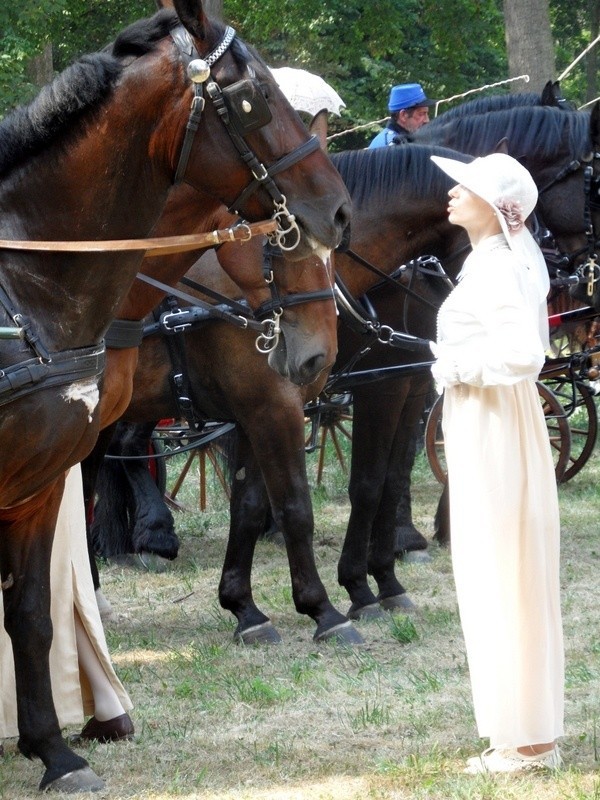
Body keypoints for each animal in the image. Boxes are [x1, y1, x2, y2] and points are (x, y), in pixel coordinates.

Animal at [0, 0, 350, 788]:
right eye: (255, 98)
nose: (338, 211)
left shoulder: (43, 477)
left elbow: (31, 611)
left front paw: (55, 748)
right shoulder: (266, 407)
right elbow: (291, 503)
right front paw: (324, 611)